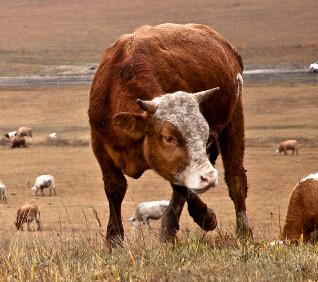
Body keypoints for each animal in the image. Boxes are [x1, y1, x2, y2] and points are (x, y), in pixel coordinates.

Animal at [87, 23, 251, 245]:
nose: (208, 177)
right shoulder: (100, 145)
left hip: (233, 122)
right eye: (169, 137)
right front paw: (114, 240)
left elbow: (180, 186)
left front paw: (183, 224)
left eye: (203, 132)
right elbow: (115, 188)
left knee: (236, 179)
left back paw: (243, 231)